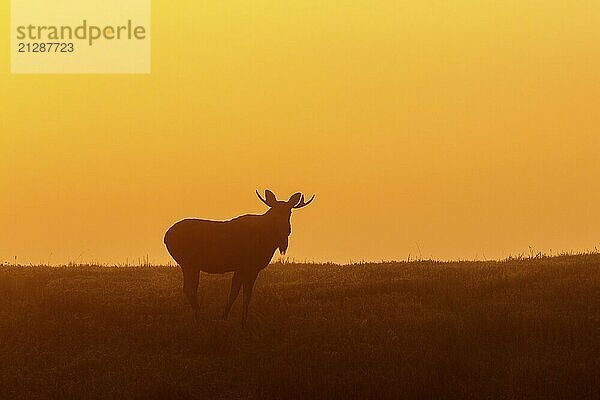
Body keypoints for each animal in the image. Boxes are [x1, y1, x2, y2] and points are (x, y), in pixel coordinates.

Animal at [163, 190, 314, 324]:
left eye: (289, 212)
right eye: (274, 213)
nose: (286, 230)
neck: (267, 241)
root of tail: (166, 237)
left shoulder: (243, 268)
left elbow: (237, 293)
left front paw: (228, 317)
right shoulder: (248, 266)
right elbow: (243, 294)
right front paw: (240, 320)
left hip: (190, 265)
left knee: (190, 288)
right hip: (189, 263)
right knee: (189, 288)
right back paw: (199, 317)